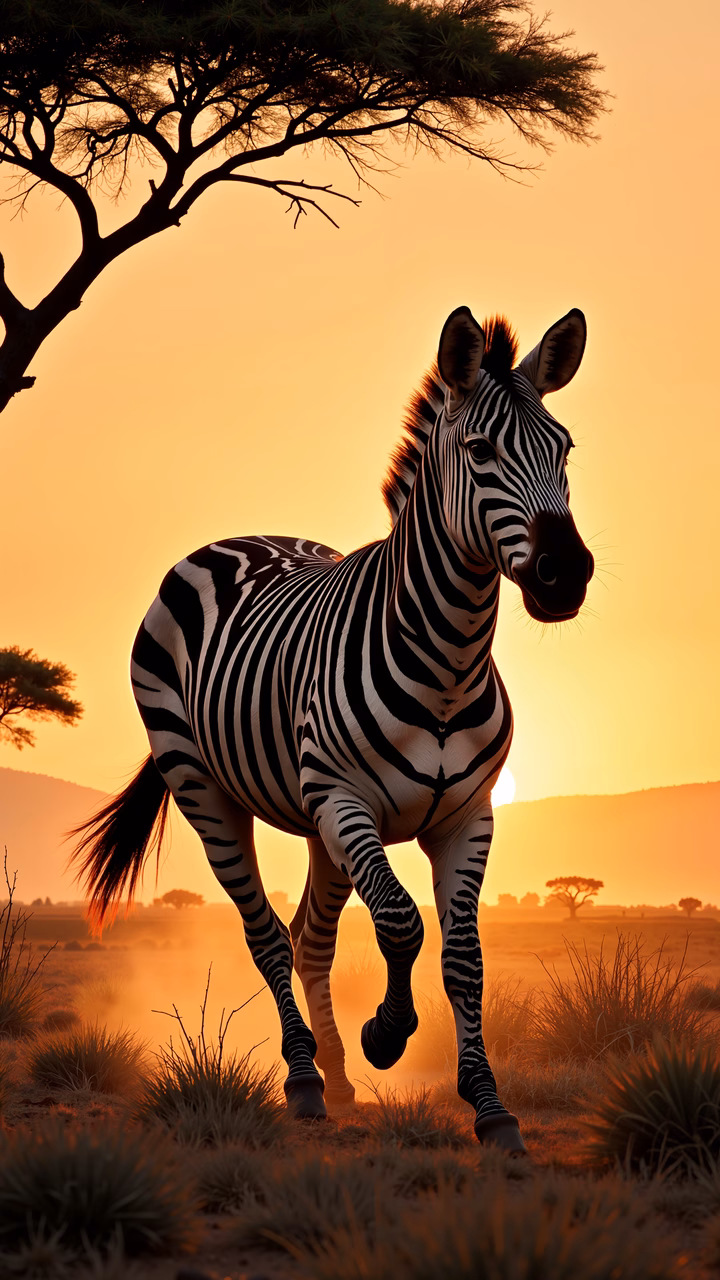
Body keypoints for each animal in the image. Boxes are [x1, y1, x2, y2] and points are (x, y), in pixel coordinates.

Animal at [72, 304, 594, 1152]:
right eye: (481, 451)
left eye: (565, 447)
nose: (566, 574)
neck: (449, 661)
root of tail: (234, 539)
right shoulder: (348, 801)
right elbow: (400, 923)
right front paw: (386, 1033)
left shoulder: (466, 816)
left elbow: (464, 958)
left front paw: (489, 1107)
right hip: (209, 787)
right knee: (266, 935)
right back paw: (305, 1077)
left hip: (319, 823)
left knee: (309, 935)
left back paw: (338, 1074)